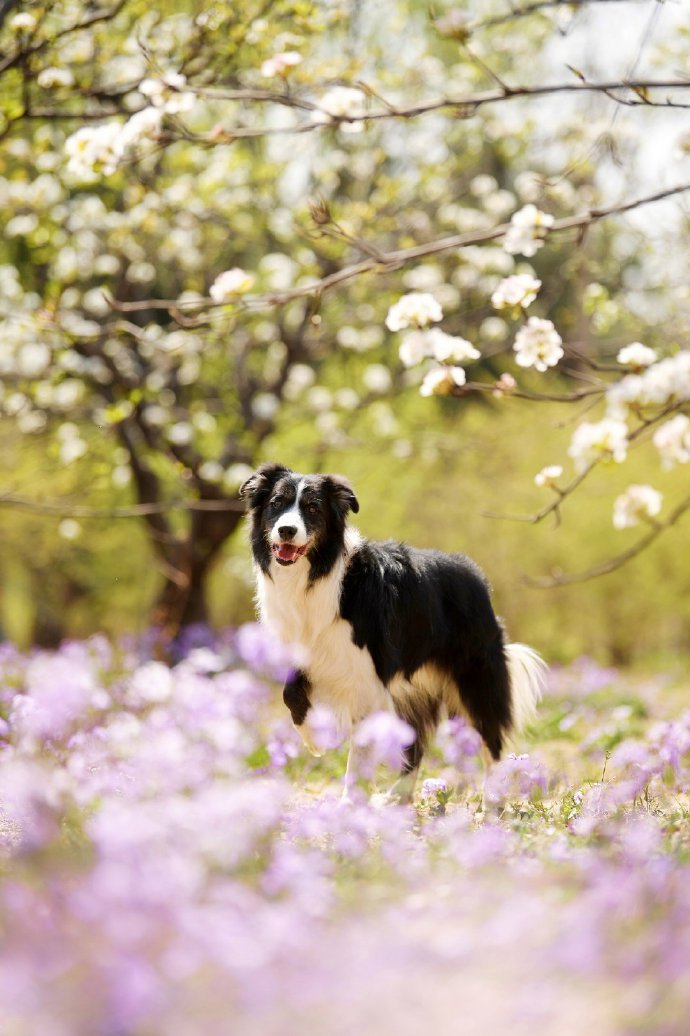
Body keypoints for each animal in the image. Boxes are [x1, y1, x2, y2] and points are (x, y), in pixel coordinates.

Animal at [239, 464, 547, 799]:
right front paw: (316, 739)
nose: (286, 530)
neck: (313, 577)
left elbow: (360, 751)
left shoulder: (367, 682)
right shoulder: (301, 652)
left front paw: (349, 803)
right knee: (416, 744)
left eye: (312, 508)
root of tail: (475, 576)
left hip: (476, 678)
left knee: (492, 743)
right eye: (277, 503)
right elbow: (290, 693)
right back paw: (398, 798)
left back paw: (490, 803)